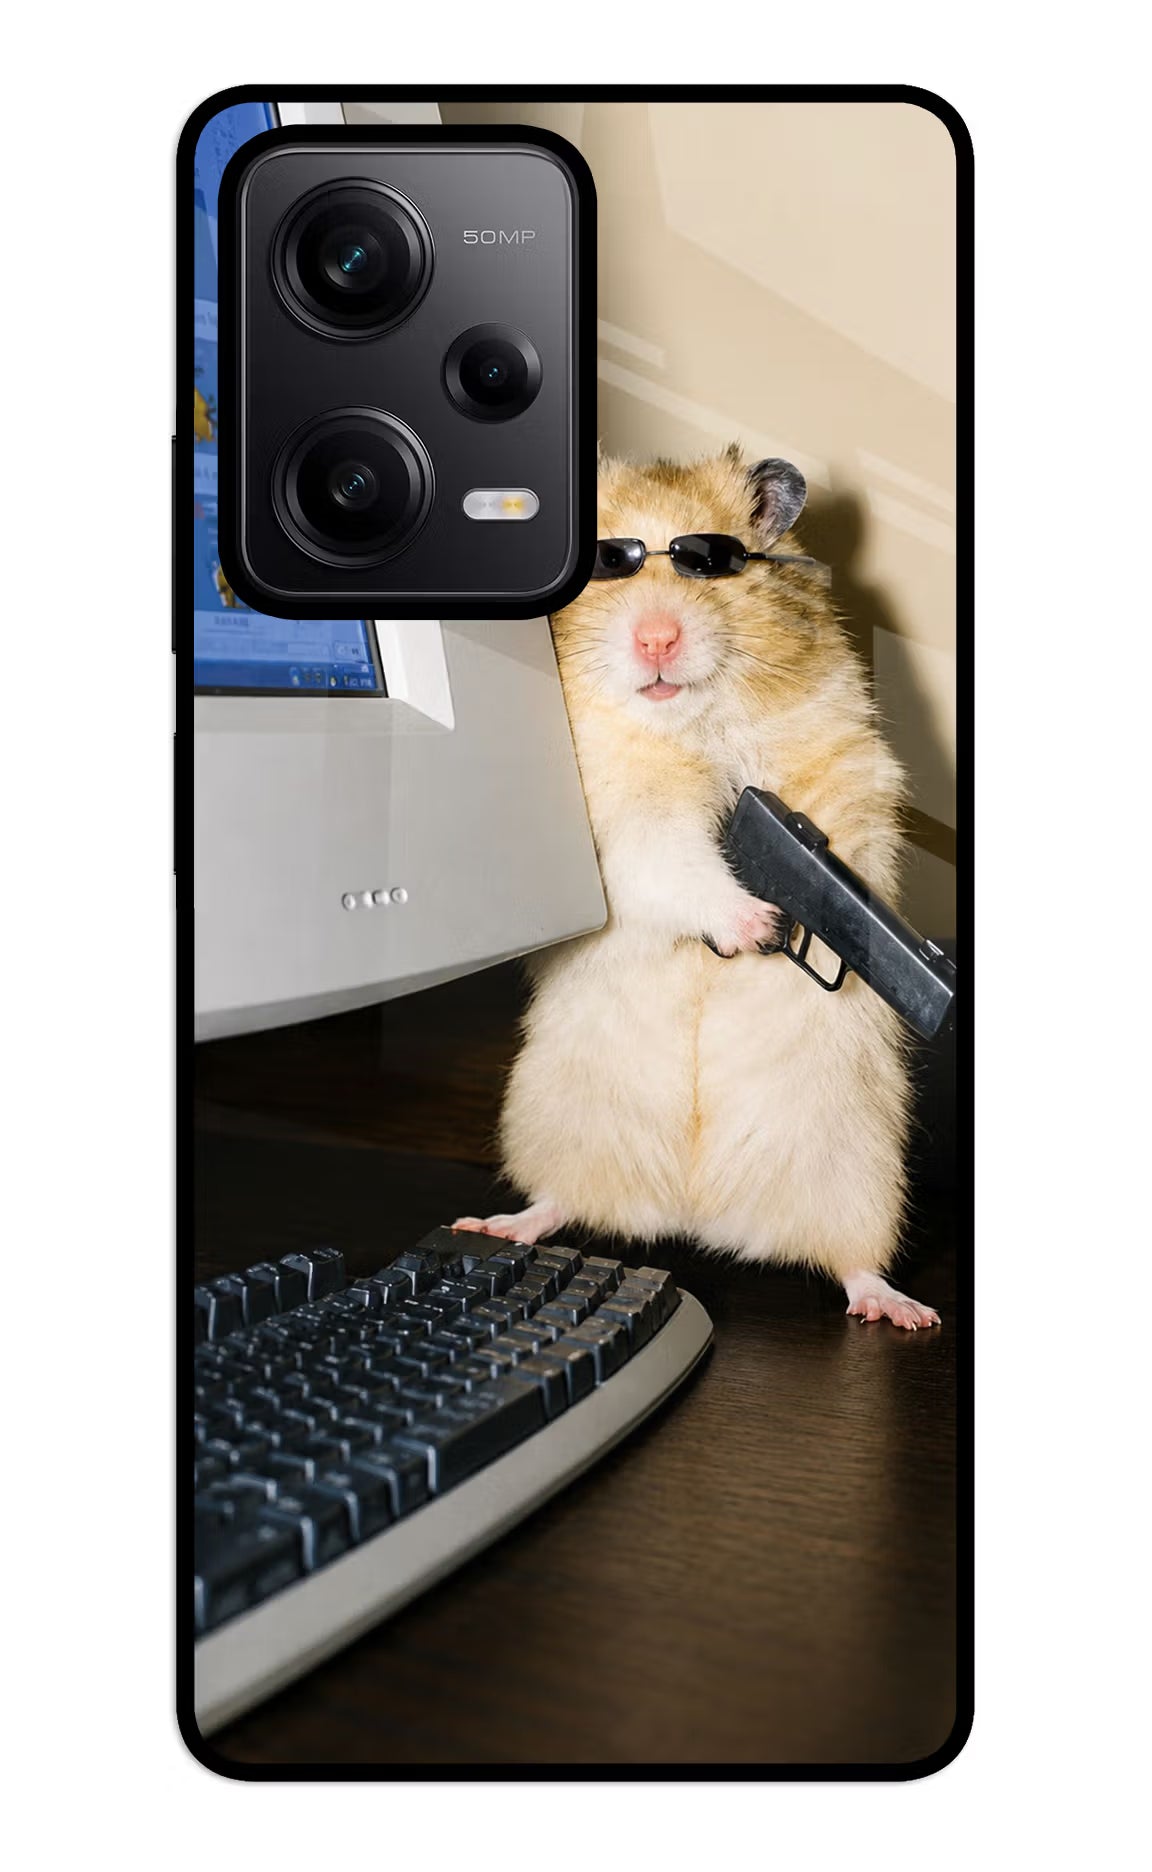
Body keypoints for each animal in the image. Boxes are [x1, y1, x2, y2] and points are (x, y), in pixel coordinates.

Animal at [457, 447, 939, 1329]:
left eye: (709, 562)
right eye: (606, 562)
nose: (657, 638)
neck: (689, 723)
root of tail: (694, 1212)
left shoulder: (842, 764)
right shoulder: (621, 820)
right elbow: (675, 862)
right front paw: (756, 925)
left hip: (857, 1170)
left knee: (852, 1261)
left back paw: (901, 1310)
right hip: (556, 1120)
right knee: (560, 1200)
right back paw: (498, 1224)